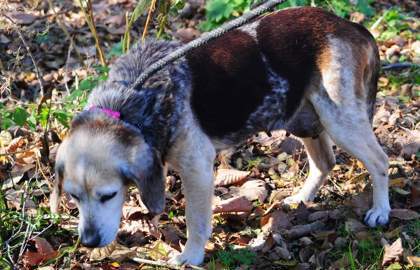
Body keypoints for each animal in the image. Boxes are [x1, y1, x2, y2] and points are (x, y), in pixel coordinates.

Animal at [50, 6, 390, 266]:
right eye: (73, 196)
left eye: (108, 195)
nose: (89, 242)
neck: (131, 96)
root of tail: (349, 25)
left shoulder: (197, 168)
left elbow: (196, 220)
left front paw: (190, 256)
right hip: (306, 119)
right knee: (325, 163)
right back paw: (302, 199)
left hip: (340, 120)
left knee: (380, 161)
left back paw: (381, 211)